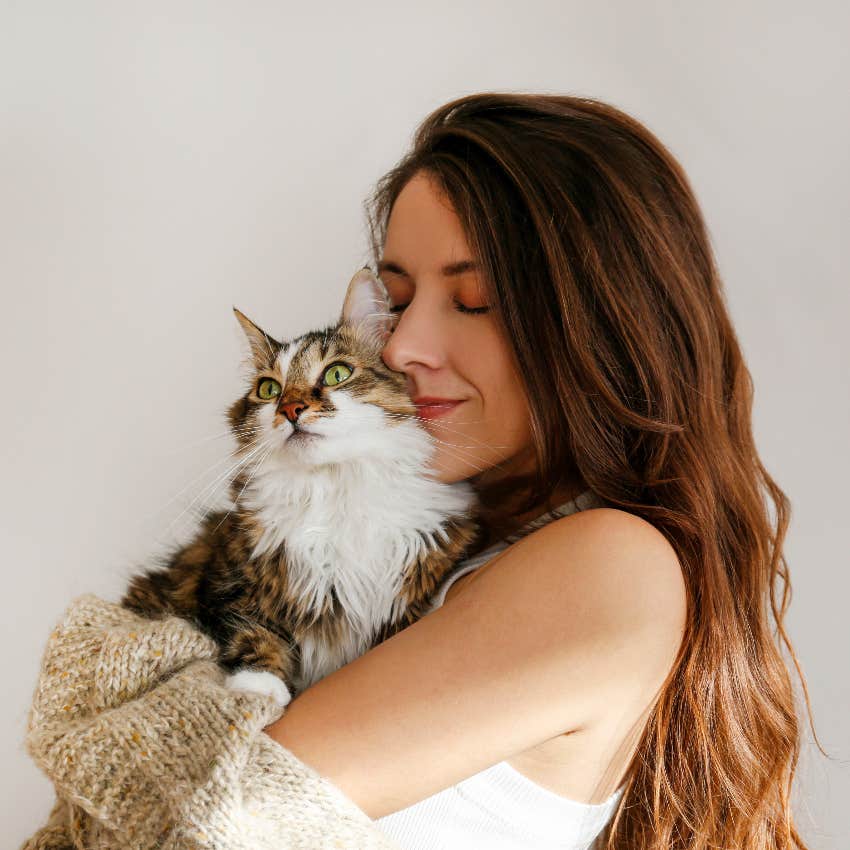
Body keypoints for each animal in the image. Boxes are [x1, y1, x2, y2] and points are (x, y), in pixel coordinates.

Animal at [117, 264, 484, 708]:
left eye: (337, 373)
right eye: (269, 389)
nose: (290, 409)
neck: (335, 487)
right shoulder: (225, 579)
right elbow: (253, 630)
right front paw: (259, 688)